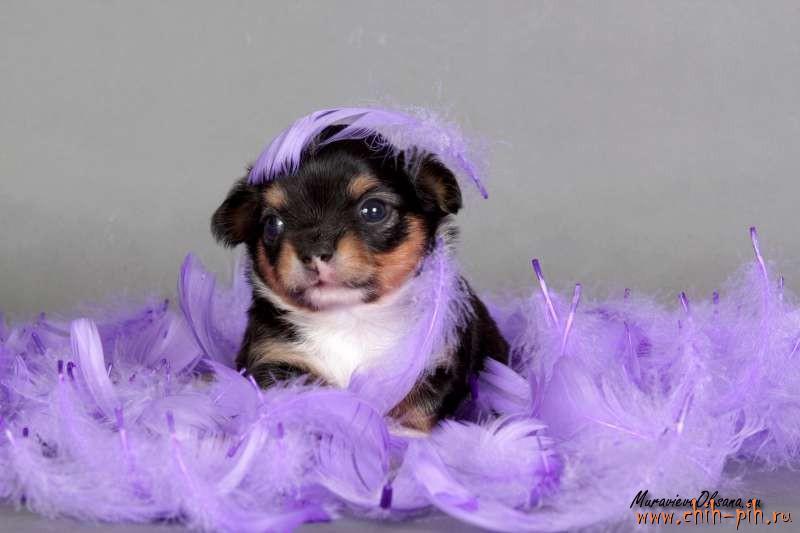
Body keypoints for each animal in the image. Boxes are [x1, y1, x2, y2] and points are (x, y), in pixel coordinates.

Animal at [211, 126, 508, 431]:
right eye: (272, 224)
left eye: (373, 210)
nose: (314, 251)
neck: (350, 319)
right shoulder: (274, 358)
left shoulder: (437, 358)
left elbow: (418, 408)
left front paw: (399, 435)